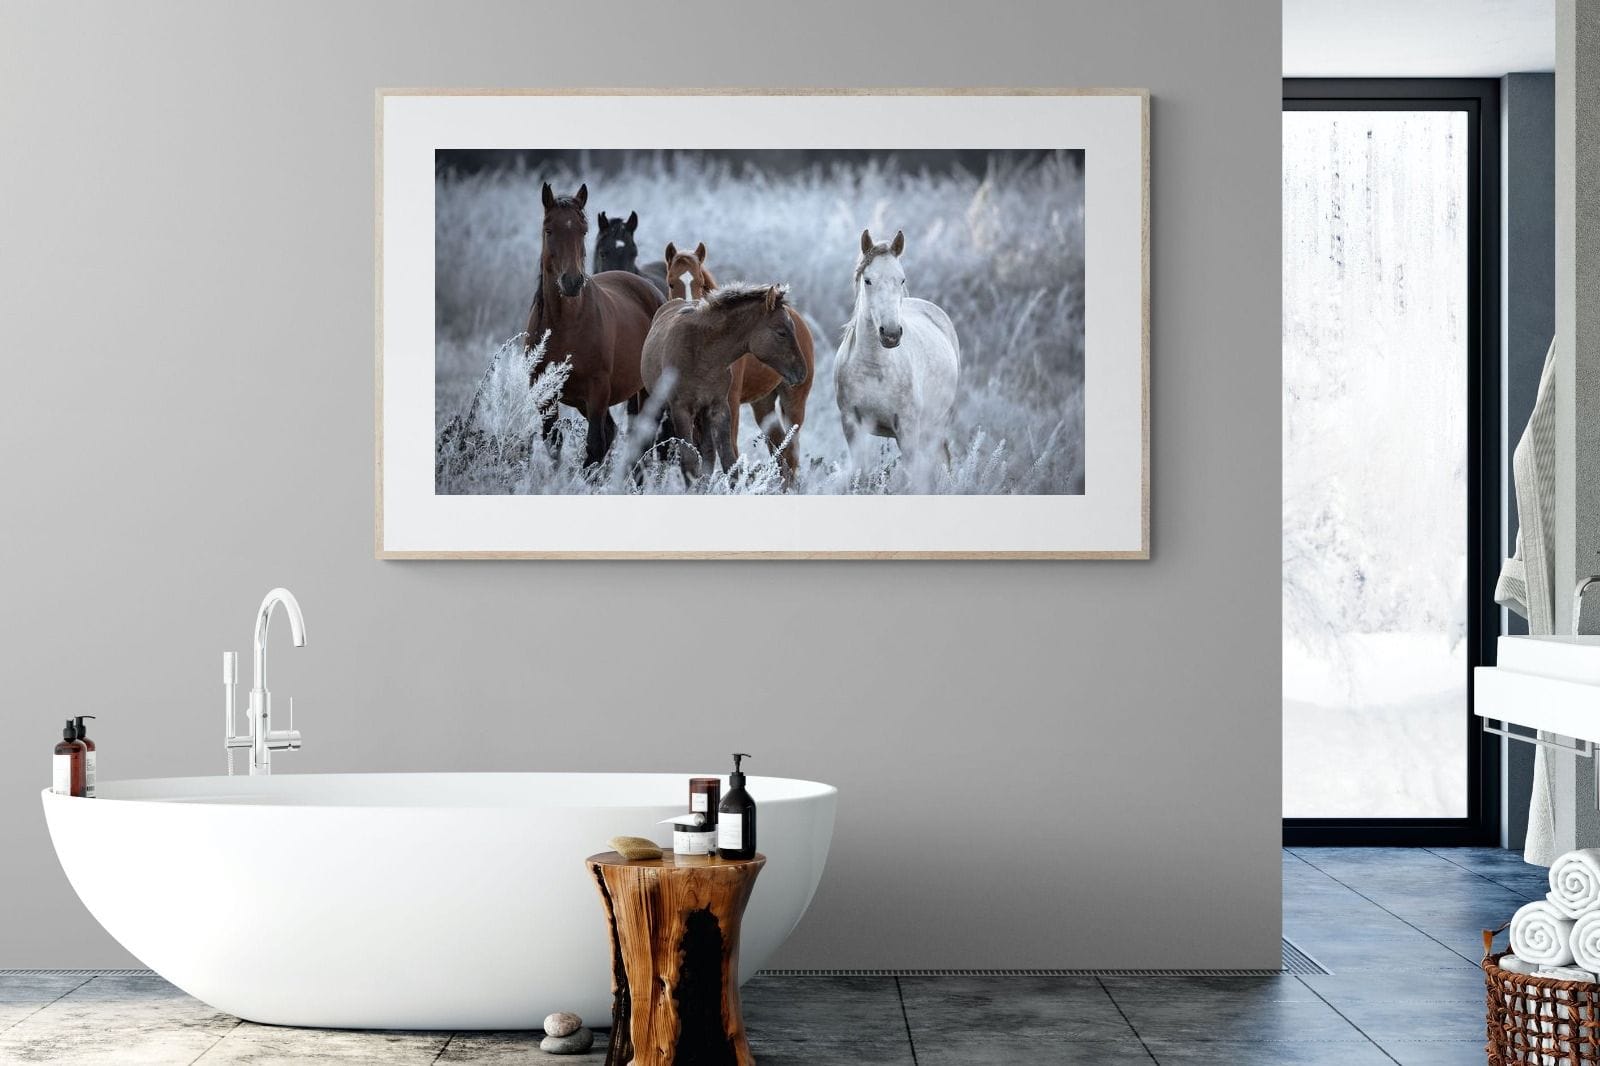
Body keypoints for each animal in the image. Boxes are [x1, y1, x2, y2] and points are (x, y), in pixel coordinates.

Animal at [524, 183, 664, 466]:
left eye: (583, 230)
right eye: (548, 229)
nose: (571, 282)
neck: (565, 325)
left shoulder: (597, 392)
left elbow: (594, 446)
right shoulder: (545, 396)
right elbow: (554, 445)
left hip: (644, 391)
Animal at [640, 283, 808, 480]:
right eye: (781, 332)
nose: (802, 372)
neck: (703, 353)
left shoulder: (718, 407)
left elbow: (728, 461)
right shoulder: (681, 409)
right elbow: (689, 462)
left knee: (709, 453)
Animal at [663, 242, 816, 483]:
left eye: (700, 282)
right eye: (671, 282)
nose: (687, 307)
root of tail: (800, 320)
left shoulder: (729, 402)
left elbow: (730, 452)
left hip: (794, 401)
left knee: (791, 453)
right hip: (763, 403)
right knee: (779, 448)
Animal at [835, 228, 961, 470]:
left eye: (901, 279)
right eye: (868, 280)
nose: (891, 334)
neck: (873, 368)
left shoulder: (907, 429)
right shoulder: (852, 426)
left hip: (936, 426)